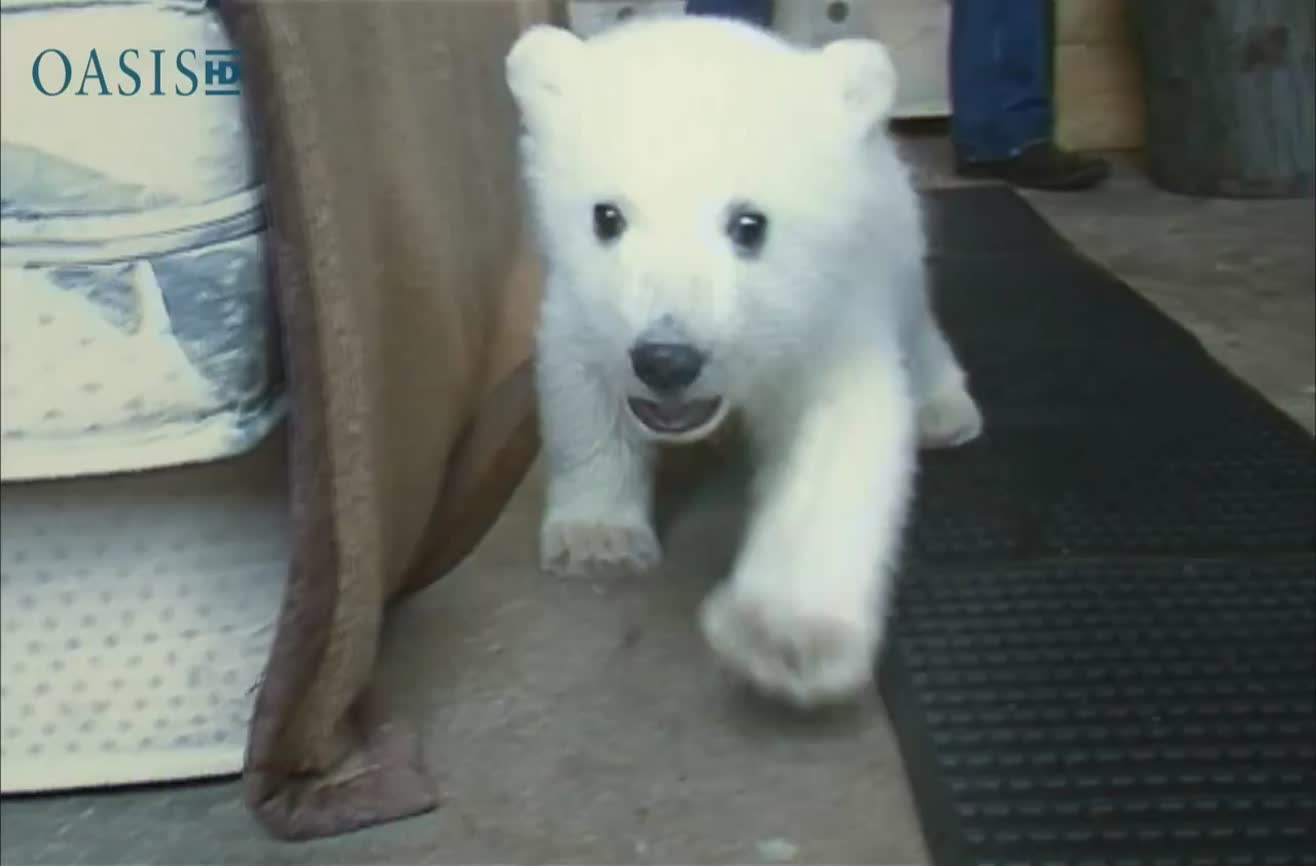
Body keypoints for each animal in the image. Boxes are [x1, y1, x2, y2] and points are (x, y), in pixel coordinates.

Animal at [504, 15, 983, 708]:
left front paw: (786, 634)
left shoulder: (829, 307)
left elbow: (837, 432)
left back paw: (944, 410)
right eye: (606, 215)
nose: (666, 359)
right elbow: (581, 385)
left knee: (918, 325)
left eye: (749, 224)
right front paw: (599, 539)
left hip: (899, 241)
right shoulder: (581, 302)